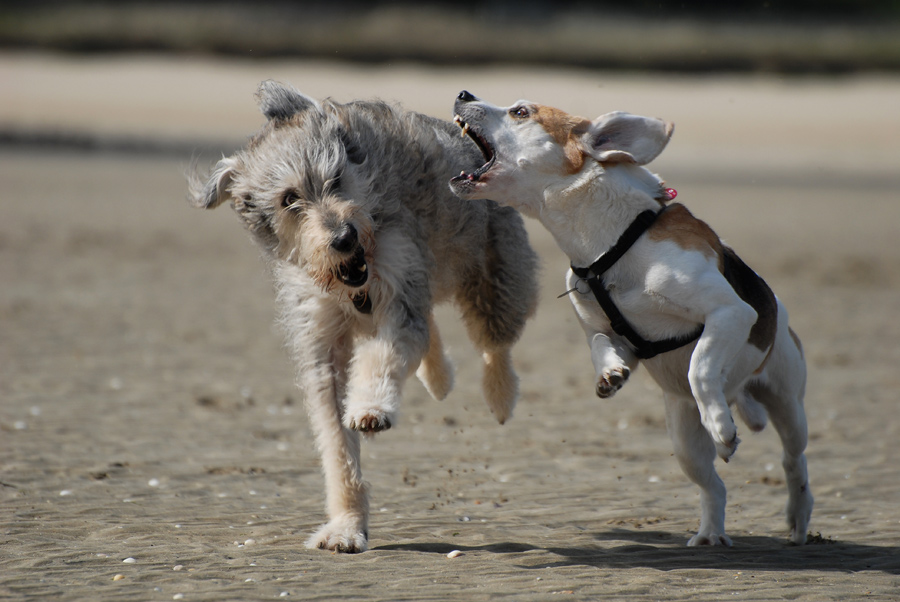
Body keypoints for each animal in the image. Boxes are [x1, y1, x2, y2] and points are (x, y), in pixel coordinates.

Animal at [187, 81, 536, 552]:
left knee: (494, 344)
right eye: (289, 199)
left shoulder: (398, 286)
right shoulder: (321, 342)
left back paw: (499, 396)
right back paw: (438, 377)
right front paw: (347, 524)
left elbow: (383, 355)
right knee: (433, 330)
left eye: (336, 179)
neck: (351, 284)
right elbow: (336, 444)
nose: (344, 236)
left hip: (495, 282)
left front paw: (371, 407)